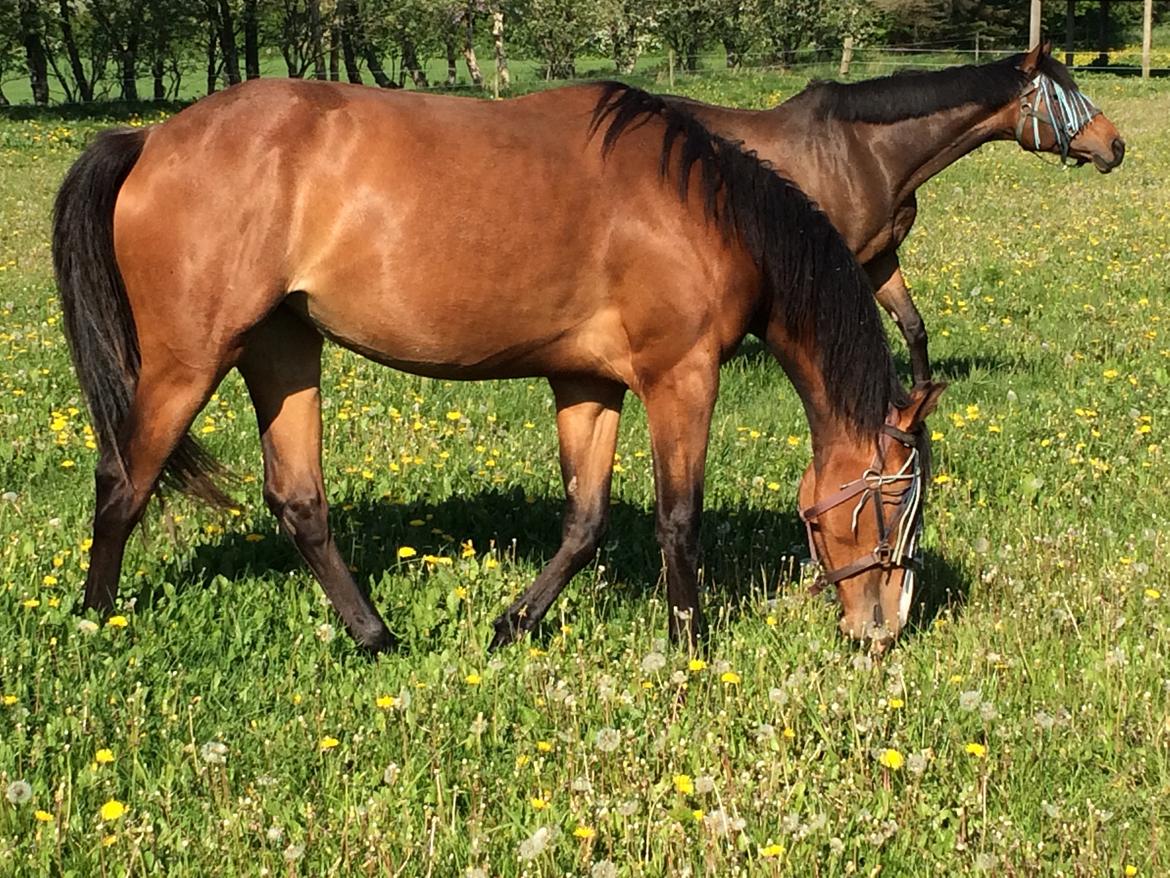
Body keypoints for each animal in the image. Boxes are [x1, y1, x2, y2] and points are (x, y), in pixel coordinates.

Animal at [54, 77, 945, 655]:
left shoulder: (590, 385)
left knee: (299, 501)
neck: (701, 210)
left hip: (283, 348)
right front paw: (689, 653)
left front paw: (512, 624)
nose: (884, 628)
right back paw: (97, 622)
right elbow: (677, 520)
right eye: (893, 501)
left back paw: (376, 636)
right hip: (187, 362)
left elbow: (585, 522)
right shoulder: (680, 378)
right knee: (122, 481)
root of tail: (151, 137)